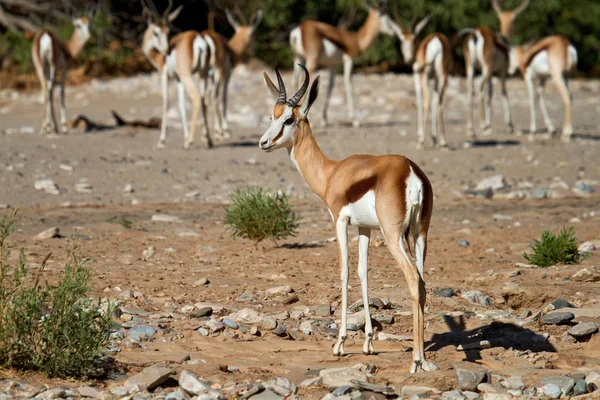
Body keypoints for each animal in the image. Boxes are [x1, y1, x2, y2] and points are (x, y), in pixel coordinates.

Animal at [32, 5, 96, 135]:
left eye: (89, 23)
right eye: (78, 25)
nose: (88, 36)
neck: (67, 48)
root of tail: (45, 34)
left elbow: (50, 91)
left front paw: (50, 126)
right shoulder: (64, 70)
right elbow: (61, 91)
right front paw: (63, 126)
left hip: (40, 66)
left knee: (44, 87)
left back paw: (44, 127)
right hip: (52, 67)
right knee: (49, 89)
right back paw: (52, 127)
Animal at [141, 0, 213, 150]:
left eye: (167, 31)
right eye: (156, 32)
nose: (165, 50)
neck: (159, 58)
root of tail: (198, 38)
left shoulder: (165, 76)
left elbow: (166, 104)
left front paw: (161, 141)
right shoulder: (178, 80)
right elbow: (181, 106)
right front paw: (185, 135)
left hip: (188, 76)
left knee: (197, 98)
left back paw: (189, 141)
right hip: (202, 74)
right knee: (204, 100)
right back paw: (207, 141)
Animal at [202, 8, 262, 140]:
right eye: (253, 35)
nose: (254, 51)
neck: (231, 50)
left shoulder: (212, 77)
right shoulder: (227, 75)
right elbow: (224, 98)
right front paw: (224, 129)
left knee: (203, 96)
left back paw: (205, 135)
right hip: (217, 72)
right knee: (214, 95)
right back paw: (220, 133)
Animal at [258, 65, 436, 376]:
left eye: (289, 118)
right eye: (272, 114)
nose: (264, 142)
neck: (332, 173)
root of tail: (410, 171)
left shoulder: (340, 222)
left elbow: (344, 272)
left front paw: (339, 344)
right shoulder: (364, 228)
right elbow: (363, 273)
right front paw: (368, 343)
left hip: (394, 237)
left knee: (414, 280)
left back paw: (415, 360)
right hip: (419, 235)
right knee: (423, 283)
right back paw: (423, 358)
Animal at [386, 14, 452, 149]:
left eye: (412, 39)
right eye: (402, 39)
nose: (407, 58)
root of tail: (437, 42)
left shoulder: (416, 76)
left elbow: (419, 99)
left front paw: (422, 135)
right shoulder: (435, 78)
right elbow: (435, 100)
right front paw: (434, 138)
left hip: (424, 76)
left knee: (426, 100)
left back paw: (420, 142)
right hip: (443, 75)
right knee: (440, 101)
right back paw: (443, 141)